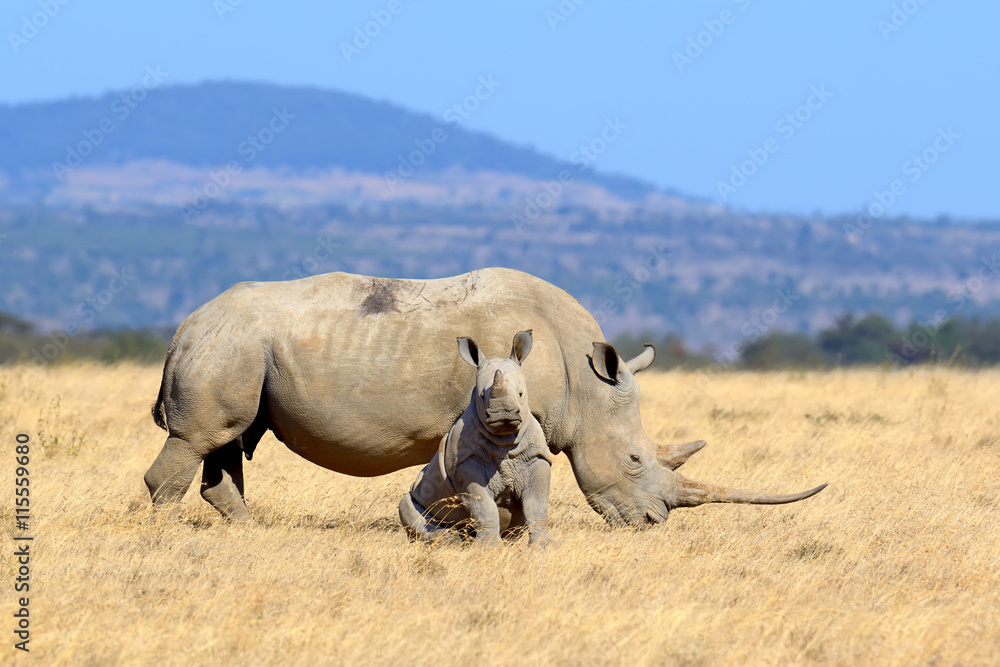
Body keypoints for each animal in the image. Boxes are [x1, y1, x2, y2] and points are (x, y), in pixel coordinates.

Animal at [399, 331, 552, 546]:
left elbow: (536, 505)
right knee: (408, 507)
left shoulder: (536, 457)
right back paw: (451, 541)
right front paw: (491, 549)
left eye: (521, 394)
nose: (503, 414)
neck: (505, 439)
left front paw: (542, 547)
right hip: (416, 493)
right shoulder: (466, 461)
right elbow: (484, 508)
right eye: (482, 396)